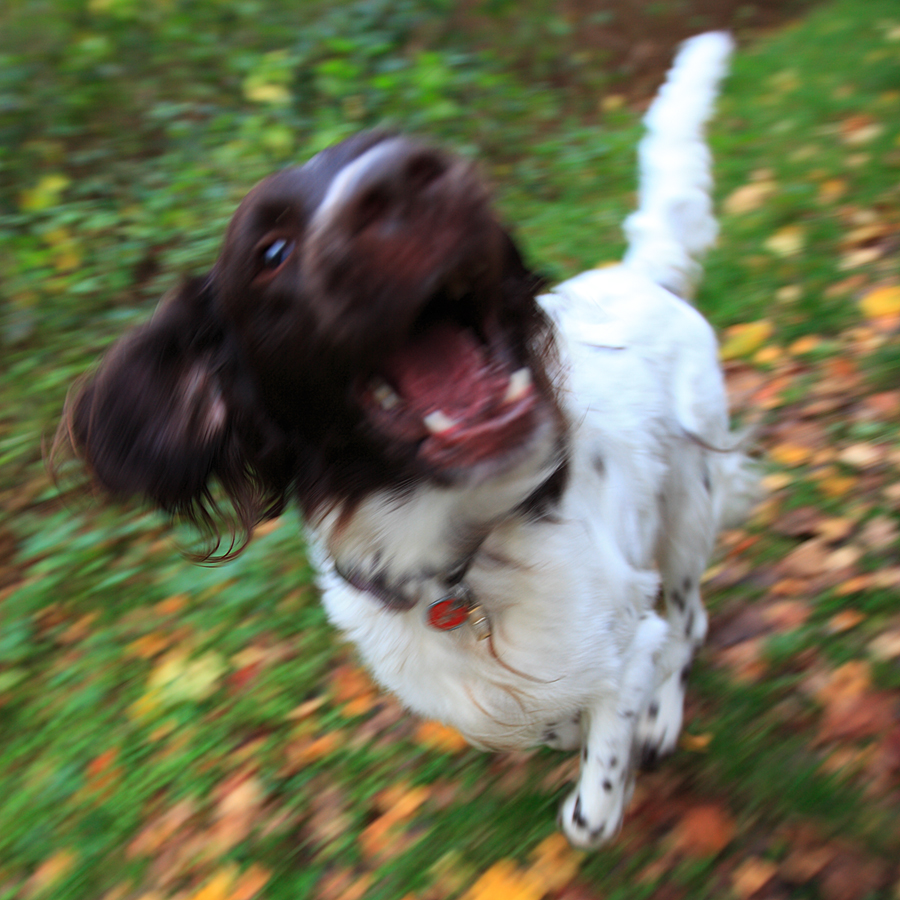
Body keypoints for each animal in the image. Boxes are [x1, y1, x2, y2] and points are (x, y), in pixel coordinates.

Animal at [52, 31, 748, 848]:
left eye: (411, 147)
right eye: (270, 251)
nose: (410, 176)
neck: (456, 560)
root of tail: (646, 278)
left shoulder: (621, 636)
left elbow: (594, 790)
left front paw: (616, 763)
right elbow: (555, 721)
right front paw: (572, 732)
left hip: (688, 509)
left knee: (689, 618)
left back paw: (665, 714)